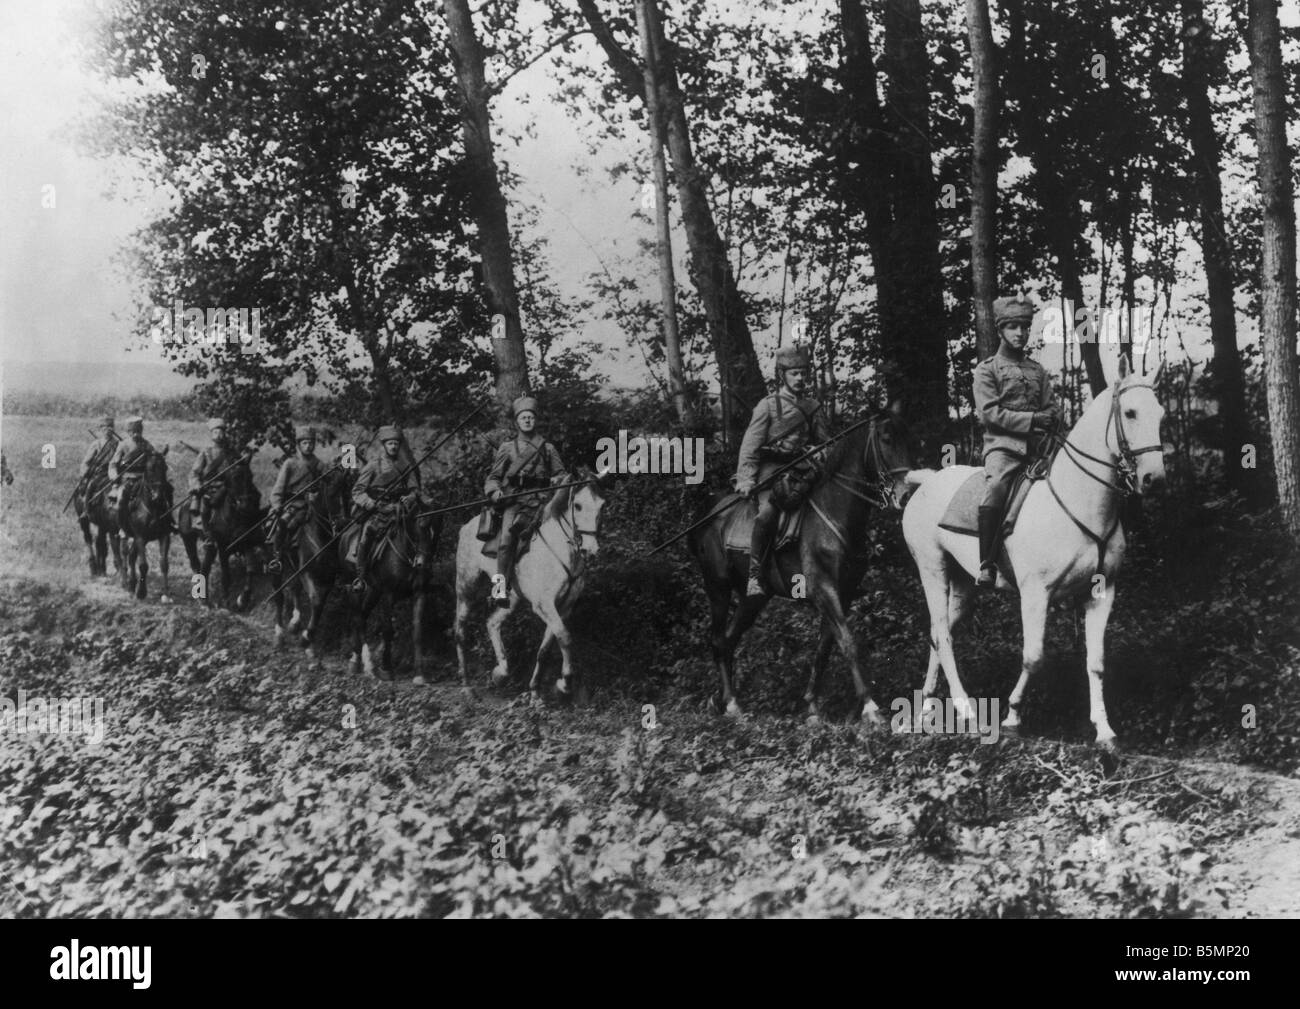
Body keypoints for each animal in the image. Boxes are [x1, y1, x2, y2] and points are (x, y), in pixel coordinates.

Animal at [120, 447, 176, 598]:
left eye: (165, 468)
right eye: (150, 469)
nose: (158, 496)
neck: (152, 507)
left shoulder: (164, 535)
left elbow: (164, 563)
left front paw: (166, 592)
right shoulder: (140, 537)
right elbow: (143, 565)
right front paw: (141, 592)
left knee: (131, 555)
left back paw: (132, 583)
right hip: (127, 535)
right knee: (127, 554)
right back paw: (129, 583)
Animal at [447, 475, 608, 702]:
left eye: (602, 505)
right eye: (578, 505)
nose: (591, 550)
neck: (559, 550)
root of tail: (466, 527)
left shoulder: (563, 608)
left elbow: (546, 648)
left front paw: (535, 691)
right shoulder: (544, 605)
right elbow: (565, 638)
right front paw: (563, 685)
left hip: (512, 599)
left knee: (492, 622)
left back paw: (501, 673)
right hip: (466, 588)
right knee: (460, 631)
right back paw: (467, 686)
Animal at [686, 408, 920, 722]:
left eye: (910, 439)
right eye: (886, 439)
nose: (906, 495)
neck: (834, 514)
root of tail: (708, 513)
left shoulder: (843, 593)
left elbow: (824, 647)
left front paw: (811, 706)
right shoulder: (824, 589)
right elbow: (848, 642)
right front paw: (870, 707)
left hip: (753, 598)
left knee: (729, 638)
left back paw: (722, 698)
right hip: (717, 588)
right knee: (717, 640)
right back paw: (732, 703)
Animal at [904, 356, 1170, 748]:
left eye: (1161, 414)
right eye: (1131, 412)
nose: (1154, 480)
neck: (1078, 500)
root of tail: (927, 481)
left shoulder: (1102, 592)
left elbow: (1096, 662)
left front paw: (1104, 730)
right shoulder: (1035, 594)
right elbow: (1033, 657)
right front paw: (1013, 716)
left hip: (963, 583)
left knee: (938, 634)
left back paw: (924, 709)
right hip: (931, 569)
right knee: (943, 634)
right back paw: (966, 709)